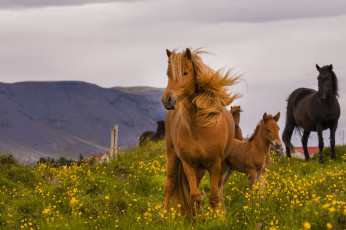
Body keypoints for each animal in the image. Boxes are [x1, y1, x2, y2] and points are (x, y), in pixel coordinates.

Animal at [160, 47, 239, 215]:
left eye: (185, 73)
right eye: (168, 74)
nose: (167, 100)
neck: (200, 129)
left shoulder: (215, 164)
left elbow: (214, 197)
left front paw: (214, 218)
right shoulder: (187, 164)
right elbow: (195, 196)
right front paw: (199, 219)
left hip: (202, 168)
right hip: (172, 156)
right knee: (169, 186)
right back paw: (164, 216)